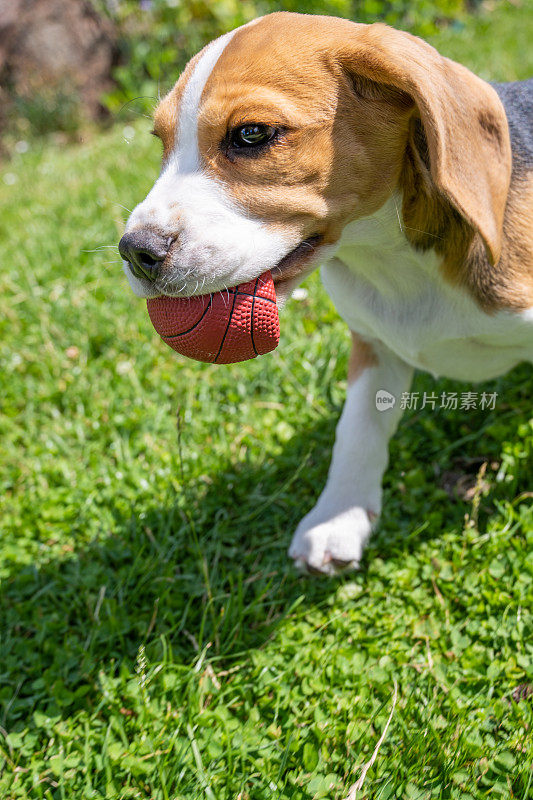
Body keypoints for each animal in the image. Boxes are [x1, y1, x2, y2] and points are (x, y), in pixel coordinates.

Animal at [120, 12, 532, 576]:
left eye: (251, 134)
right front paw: (338, 517)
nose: (134, 250)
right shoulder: (373, 345)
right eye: (160, 141)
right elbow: (357, 429)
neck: (392, 259)